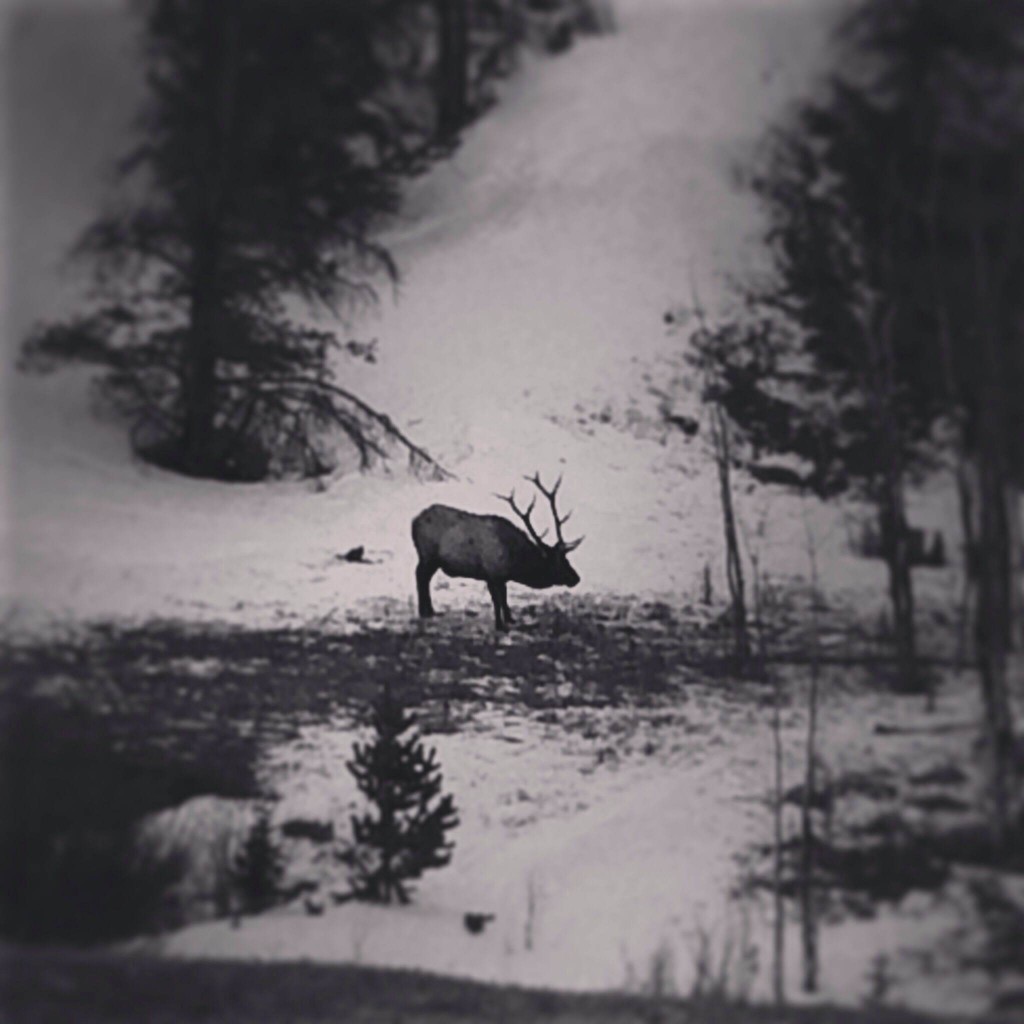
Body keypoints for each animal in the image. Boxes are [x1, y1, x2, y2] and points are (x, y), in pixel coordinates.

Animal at [409, 473, 585, 630]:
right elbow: (496, 600)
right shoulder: (492, 573)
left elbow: (504, 597)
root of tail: (414, 521)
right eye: (559, 562)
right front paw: (499, 625)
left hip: (432, 559)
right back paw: (424, 612)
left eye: (568, 559)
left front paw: (510, 619)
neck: (514, 562)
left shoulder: (502, 577)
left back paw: (430, 611)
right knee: (420, 576)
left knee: (425, 578)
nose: (576, 578)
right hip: (427, 555)